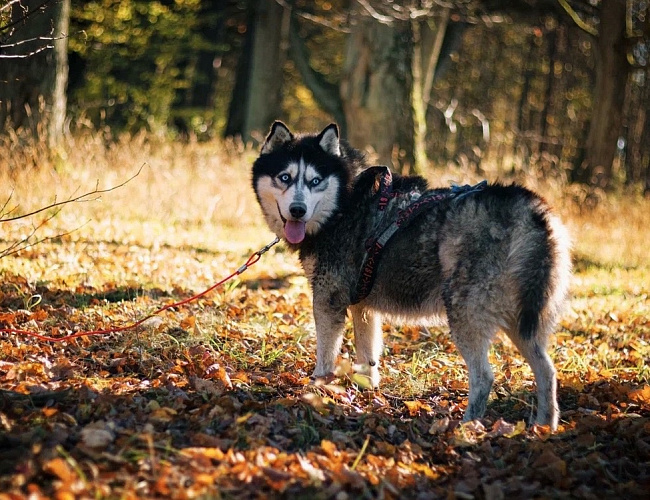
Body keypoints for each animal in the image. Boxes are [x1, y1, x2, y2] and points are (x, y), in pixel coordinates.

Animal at [251, 121, 568, 430]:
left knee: (484, 376)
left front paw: (316, 390)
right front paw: (366, 393)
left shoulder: (328, 301)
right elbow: (368, 357)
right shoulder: (363, 307)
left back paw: (466, 428)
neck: (345, 203)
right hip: (522, 322)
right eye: (285, 177)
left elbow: (325, 357)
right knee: (548, 371)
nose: (297, 210)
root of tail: (533, 210)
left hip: (466, 314)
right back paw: (543, 427)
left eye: (315, 181)